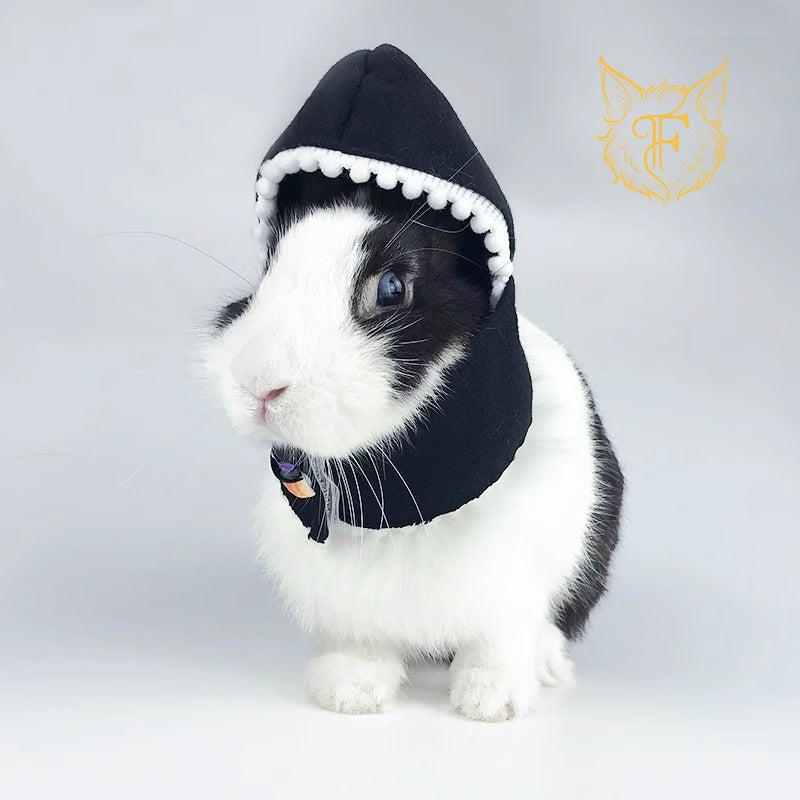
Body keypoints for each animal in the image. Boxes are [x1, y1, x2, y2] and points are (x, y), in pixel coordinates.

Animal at [205, 169, 623, 721]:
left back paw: (547, 667)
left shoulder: (510, 581)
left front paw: (490, 702)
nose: (258, 384)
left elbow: (498, 640)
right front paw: (348, 692)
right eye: (269, 271)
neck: (407, 493)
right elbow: (364, 641)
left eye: (391, 288)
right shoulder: (351, 597)